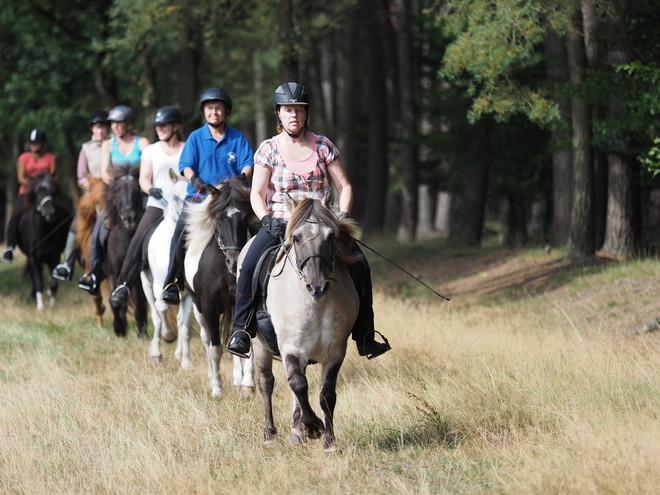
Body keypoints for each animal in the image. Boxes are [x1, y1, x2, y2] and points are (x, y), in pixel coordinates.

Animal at [142, 170, 193, 368]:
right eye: (175, 197)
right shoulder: (159, 287)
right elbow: (161, 309)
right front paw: (168, 336)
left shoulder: (187, 295)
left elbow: (185, 327)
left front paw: (186, 363)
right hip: (146, 284)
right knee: (156, 314)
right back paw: (156, 352)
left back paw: (179, 353)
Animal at [182, 178, 256, 400]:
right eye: (219, 219)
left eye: (244, 217)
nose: (234, 261)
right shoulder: (209, 308)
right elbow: (215, 348)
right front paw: (216, 388)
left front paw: (248, 385)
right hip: (198, 309)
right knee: (207, 340)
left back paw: (239, 380)